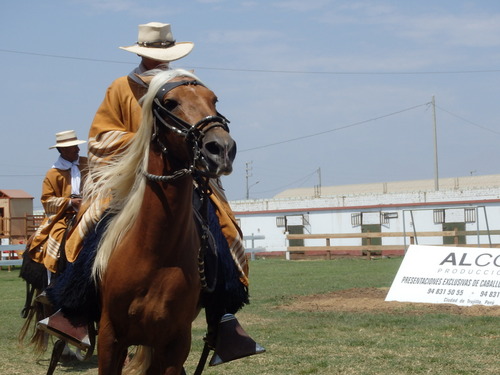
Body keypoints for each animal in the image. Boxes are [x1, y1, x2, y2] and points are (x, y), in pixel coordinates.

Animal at [90, 69, 236, 374]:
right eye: (170, 102)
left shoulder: (175, 343)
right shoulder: (110, 337)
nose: (222, 149)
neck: (154, 254)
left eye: (214, 100)